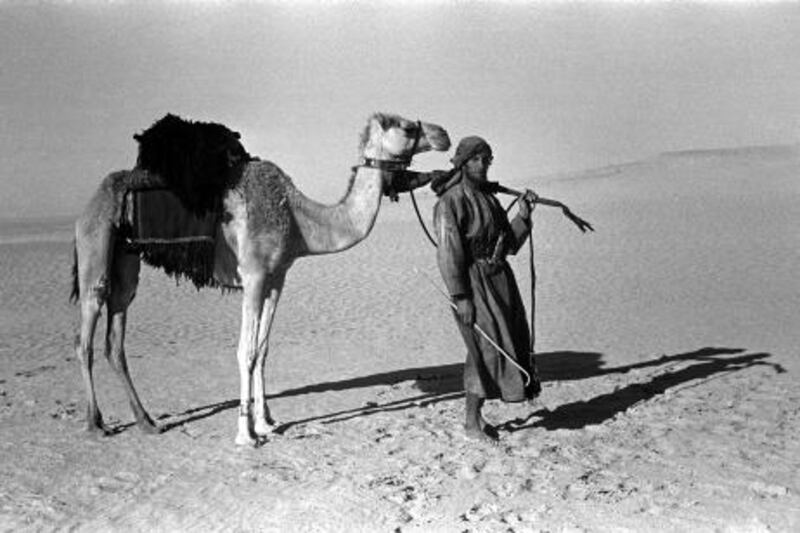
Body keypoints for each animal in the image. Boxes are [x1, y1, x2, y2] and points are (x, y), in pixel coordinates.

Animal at [72, 112, 450, 444]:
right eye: (406, 126)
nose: (443, 134)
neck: (298, 218)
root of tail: (87, 204)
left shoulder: (276, 278)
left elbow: (264, 350)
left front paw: (266, 422)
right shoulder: (253, 276)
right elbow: (246, 352)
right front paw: (246, 434)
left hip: (126, 258)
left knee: (116, 334)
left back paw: (147, 422)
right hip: (95, 242)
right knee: (86, 333)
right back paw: (95, 425)